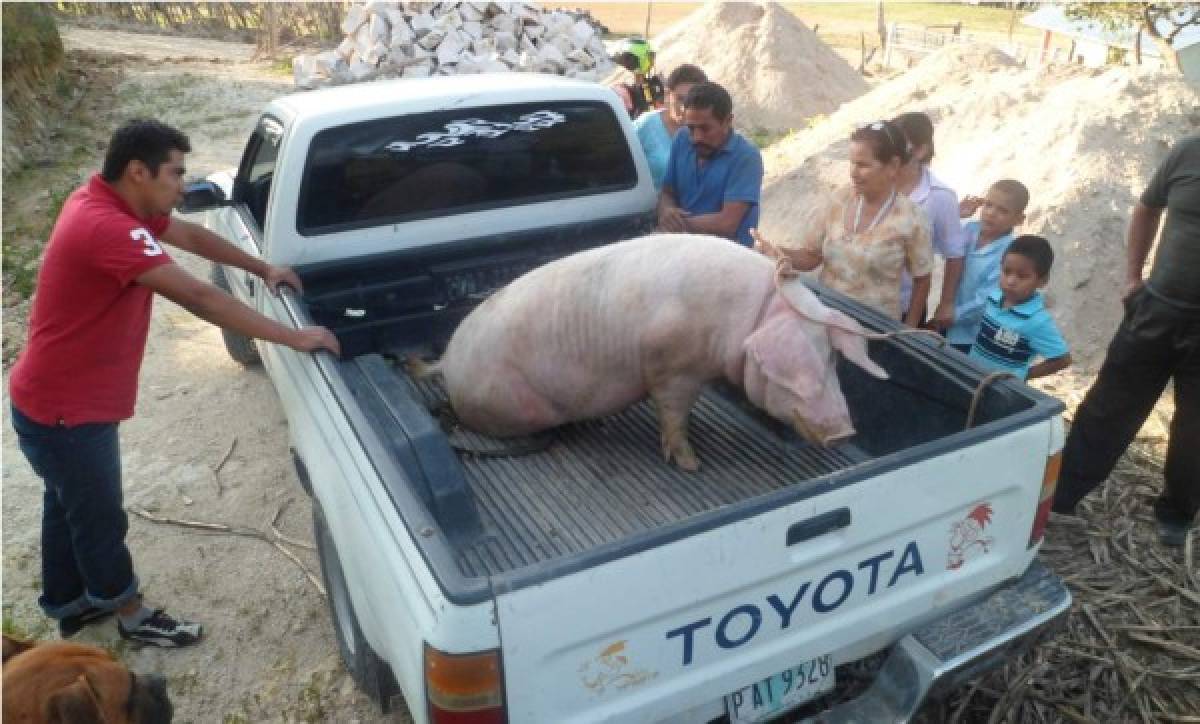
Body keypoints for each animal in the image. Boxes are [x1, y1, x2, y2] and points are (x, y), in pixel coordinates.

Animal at [427, 234, 888, 470]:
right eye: (802, 368)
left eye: (832, 360)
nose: (844, 431)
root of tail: (445, 363)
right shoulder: (670, 364)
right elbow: (672, 413)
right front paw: (690, 464)